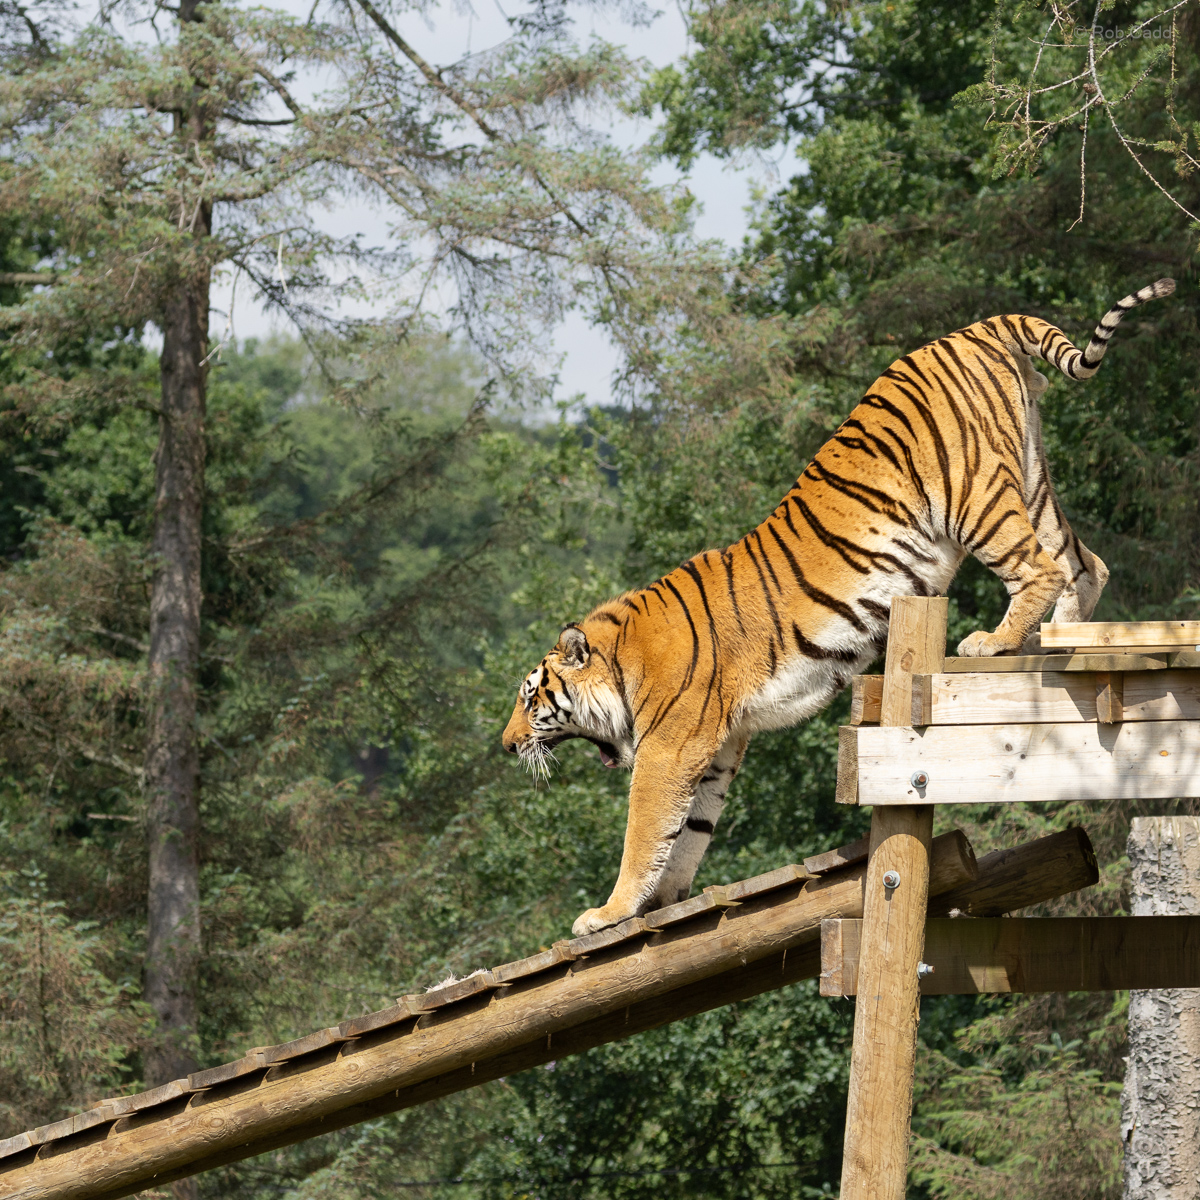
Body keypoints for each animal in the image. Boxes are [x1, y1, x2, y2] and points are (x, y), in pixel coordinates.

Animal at [502, 279, 1176, 937]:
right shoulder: (718, 744)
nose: (507, 747)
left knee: (1041, 567)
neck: (624, 661)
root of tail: (976, 326)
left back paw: (995, 642)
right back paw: (1057, 646)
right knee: (1085, 564)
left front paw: (607, 913)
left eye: (531, 699)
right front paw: (666, 903)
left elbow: (645, 830)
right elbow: (690, 830)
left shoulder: (670, 747)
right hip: (1031, 477)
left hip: (977, 494)